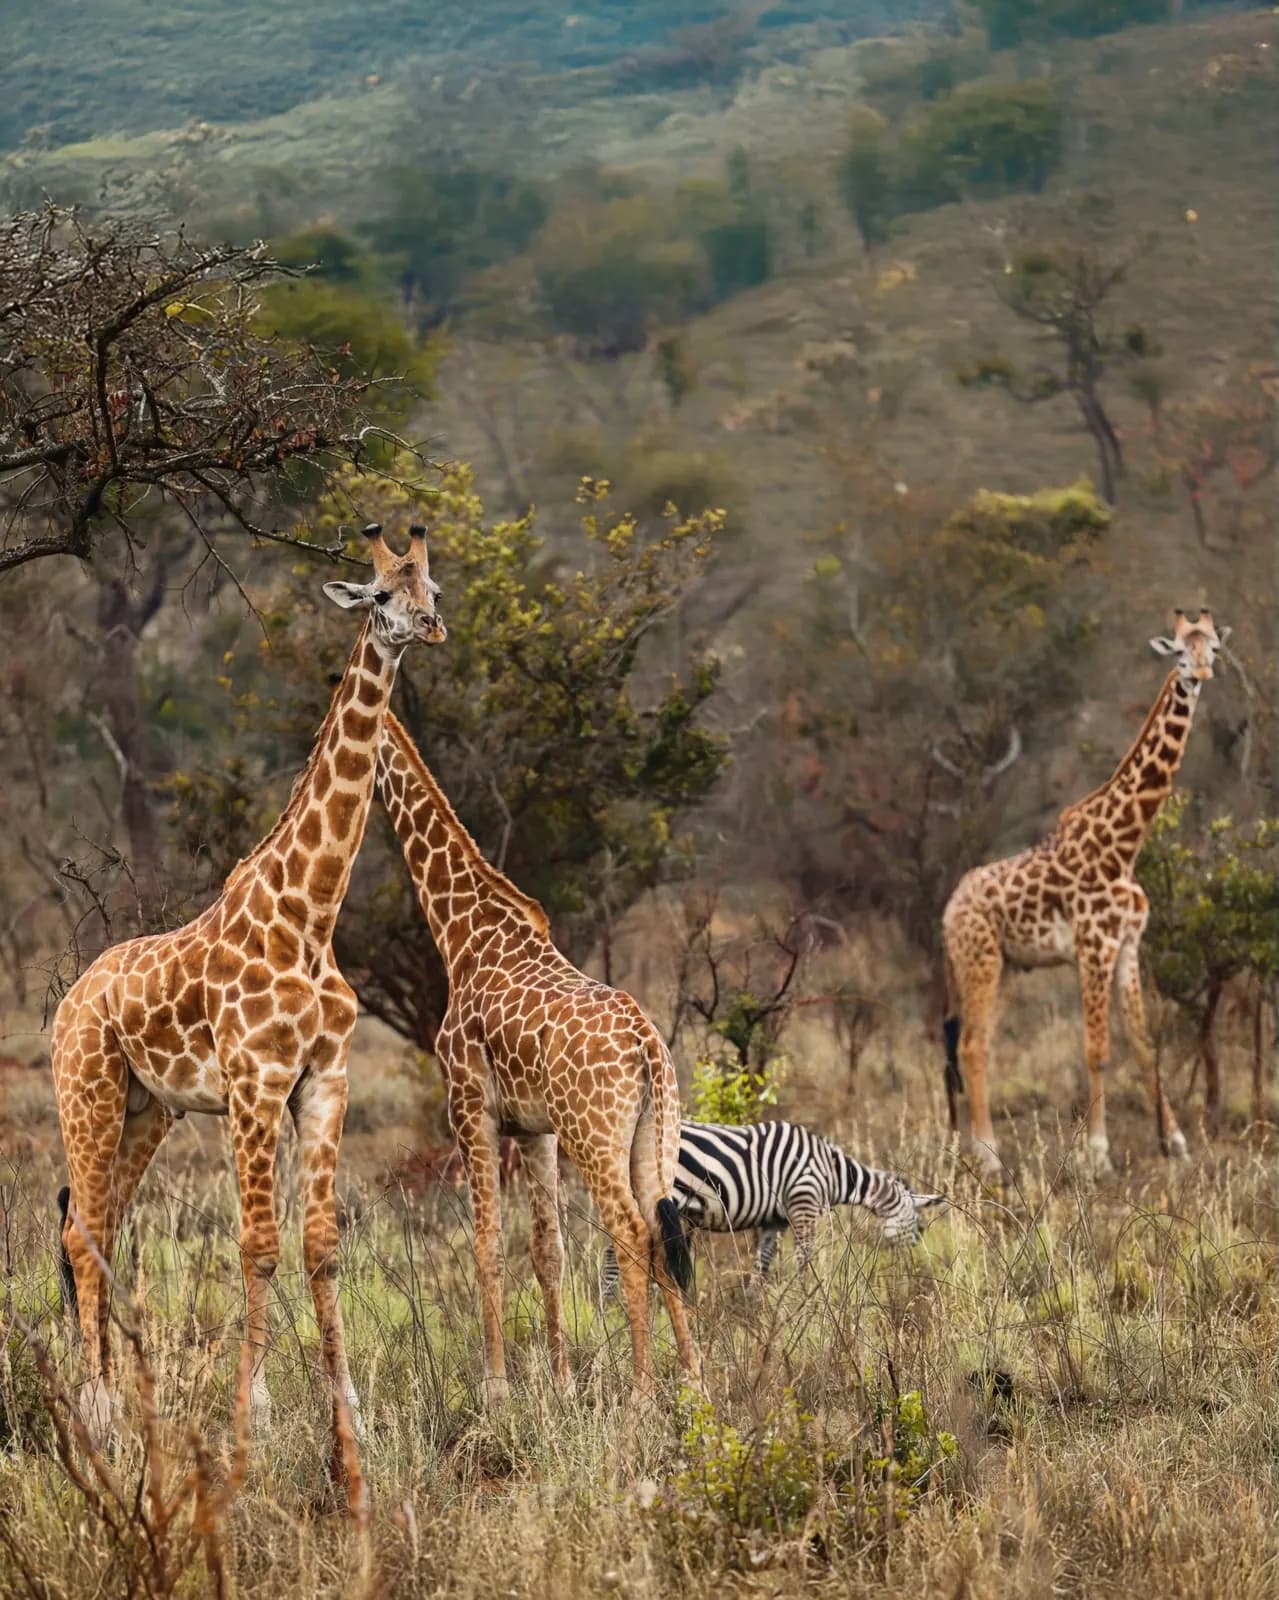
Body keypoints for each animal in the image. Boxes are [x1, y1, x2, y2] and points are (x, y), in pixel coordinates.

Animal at [50, 522, 446, 1480]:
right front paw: (245, 1431)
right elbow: (258, 1247)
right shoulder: (255, 1086)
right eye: (381, 594)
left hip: (146, 1108)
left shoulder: (324, 1081)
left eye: (434, 588)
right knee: (82, 1233)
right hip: (85, 1094)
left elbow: (322, 1248)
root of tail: (71, 997)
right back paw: (98, 1413)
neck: (309, 915)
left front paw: (349, 1434)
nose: (427, 627)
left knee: (106, 1227)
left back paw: (119, 1405)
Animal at [375, 709, 699, 1405]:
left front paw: (497, 1388)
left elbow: (486, 1243)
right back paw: (694, 1382)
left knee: (630, 1233)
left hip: (594, 1135)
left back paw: (641, 1393)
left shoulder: (470, 1109)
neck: (463, 933)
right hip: (653, 1132)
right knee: (664, 1228)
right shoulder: (534, 1129)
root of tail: (645, 1041)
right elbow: (547, 1249)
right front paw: (563, 1383)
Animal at [601, 1119, 946, 1295]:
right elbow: (804, 1259)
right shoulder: (804, 1202)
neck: (833, 1171)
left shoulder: (774, 1220)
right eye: (920, 1228)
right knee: (614, 1256)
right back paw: (614, 1306)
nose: (917, 1272)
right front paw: (807, 1300)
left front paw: (755, 1306)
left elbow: (762, 1263)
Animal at [941, 609, 1228, 1178]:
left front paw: (1176, 1141)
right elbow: (1098, 1049)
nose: (1200, 678)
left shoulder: (1129, 946)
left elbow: (1144, 1045)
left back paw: (978, 1151)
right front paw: (1096, 1154)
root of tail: (947, 911)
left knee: (978, 1045)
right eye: (1180, 656)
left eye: (1212, 650)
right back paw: (989, 1157)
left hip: (1007, 967)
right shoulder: (1094, 947)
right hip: (978, 960)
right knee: (970, 1047)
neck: (1125, 843)